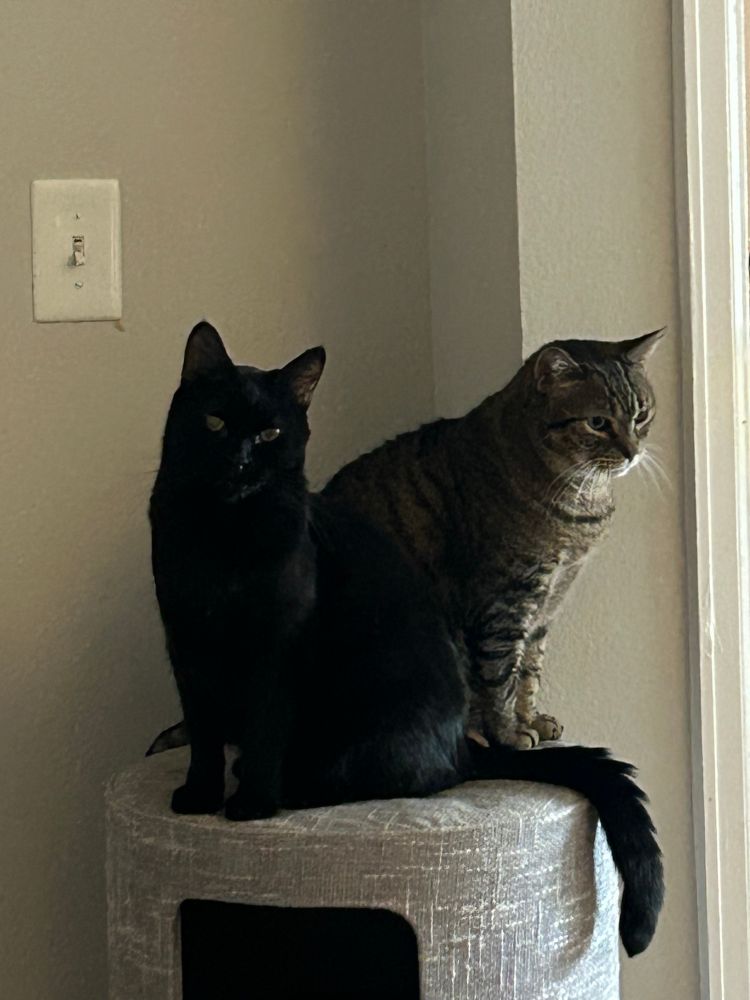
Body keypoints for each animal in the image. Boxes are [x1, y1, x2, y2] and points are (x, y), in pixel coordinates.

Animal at [323, 331, 664, 750]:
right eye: (597, 422)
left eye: (641, 415)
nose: (633, 453)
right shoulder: (507, 598)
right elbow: (501, 674)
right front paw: (510, 732)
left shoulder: (545, 606)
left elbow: (530, 672)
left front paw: (532, 719)